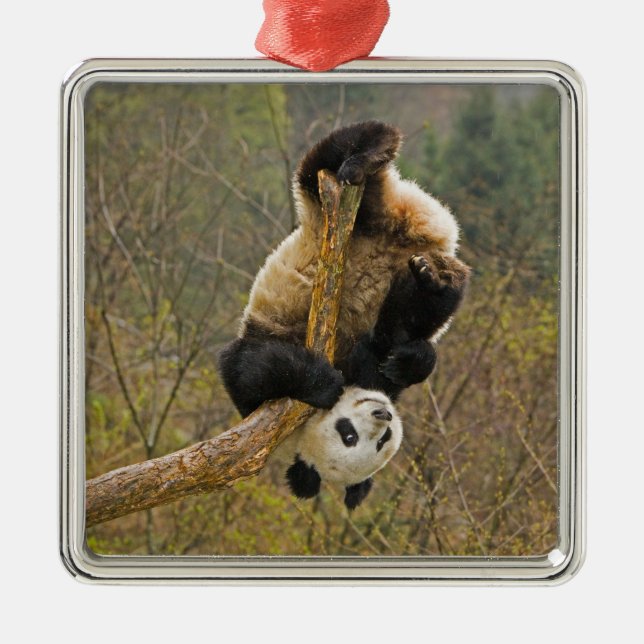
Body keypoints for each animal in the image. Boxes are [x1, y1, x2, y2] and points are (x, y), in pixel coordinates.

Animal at [218, 120, 470, 507]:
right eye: (349, 436)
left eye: (382, 440)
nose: (382, 414)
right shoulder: (265, 391)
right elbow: (255, 367)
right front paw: (323, 383)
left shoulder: (370, 369)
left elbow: (395, 347)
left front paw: (407, 362)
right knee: (322, 165)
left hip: (365, 213)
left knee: (341, 150)